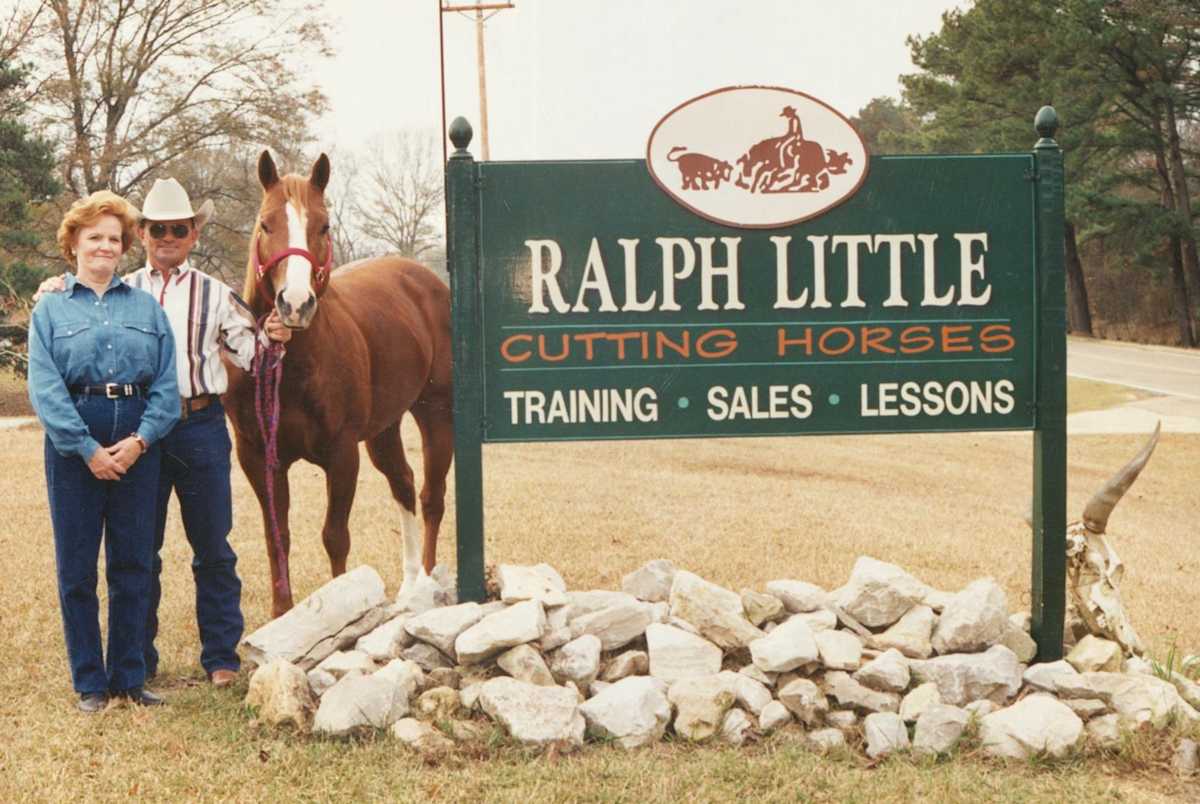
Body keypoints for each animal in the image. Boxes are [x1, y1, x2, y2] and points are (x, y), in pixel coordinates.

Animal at [223, 150, 454, 618]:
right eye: (265, 223)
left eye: (324, 225)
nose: (294, 304)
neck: (288, 367)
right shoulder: (257, 457)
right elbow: (278, 537)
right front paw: (281, 616)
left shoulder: (342, 453)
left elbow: (335, 536)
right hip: (384, 430)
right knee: (403, 483)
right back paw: (409, 586)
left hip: (436, 412)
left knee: (430, 496)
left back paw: (426, 583)